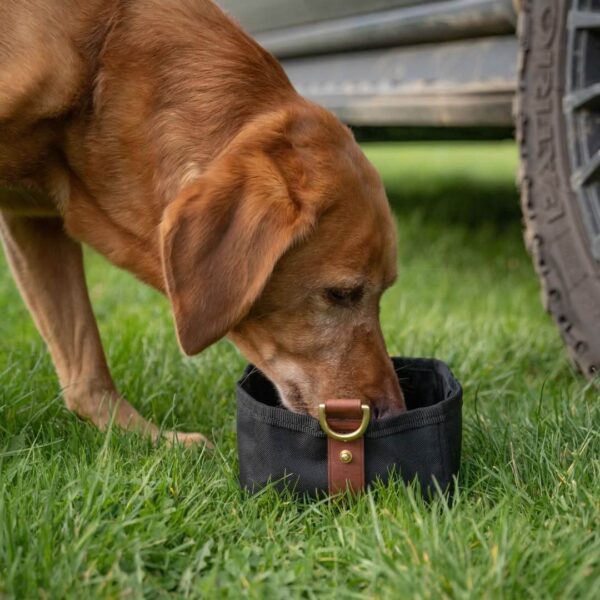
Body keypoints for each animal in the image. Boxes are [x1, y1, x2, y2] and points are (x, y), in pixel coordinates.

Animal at [0, 0, 406, 446]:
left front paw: (145, 438)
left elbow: (85, 360)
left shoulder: (34, 222)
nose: (394, 414)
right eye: (340, 294)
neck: (104, 60)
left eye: (384, 292)